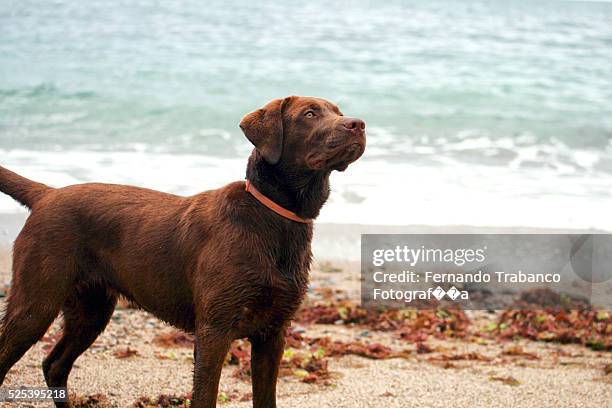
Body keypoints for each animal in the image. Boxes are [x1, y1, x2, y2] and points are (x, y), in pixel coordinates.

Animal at [0, 96, 364, 408]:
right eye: (310, 114)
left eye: (338, 110)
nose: (358, 124)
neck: (272, 218)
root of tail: (47, 194)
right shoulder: (214, 331)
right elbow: (204, 397)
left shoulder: (273, 333)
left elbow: (265, 398)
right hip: (35, 303)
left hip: (91, 309)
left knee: (54, 365)